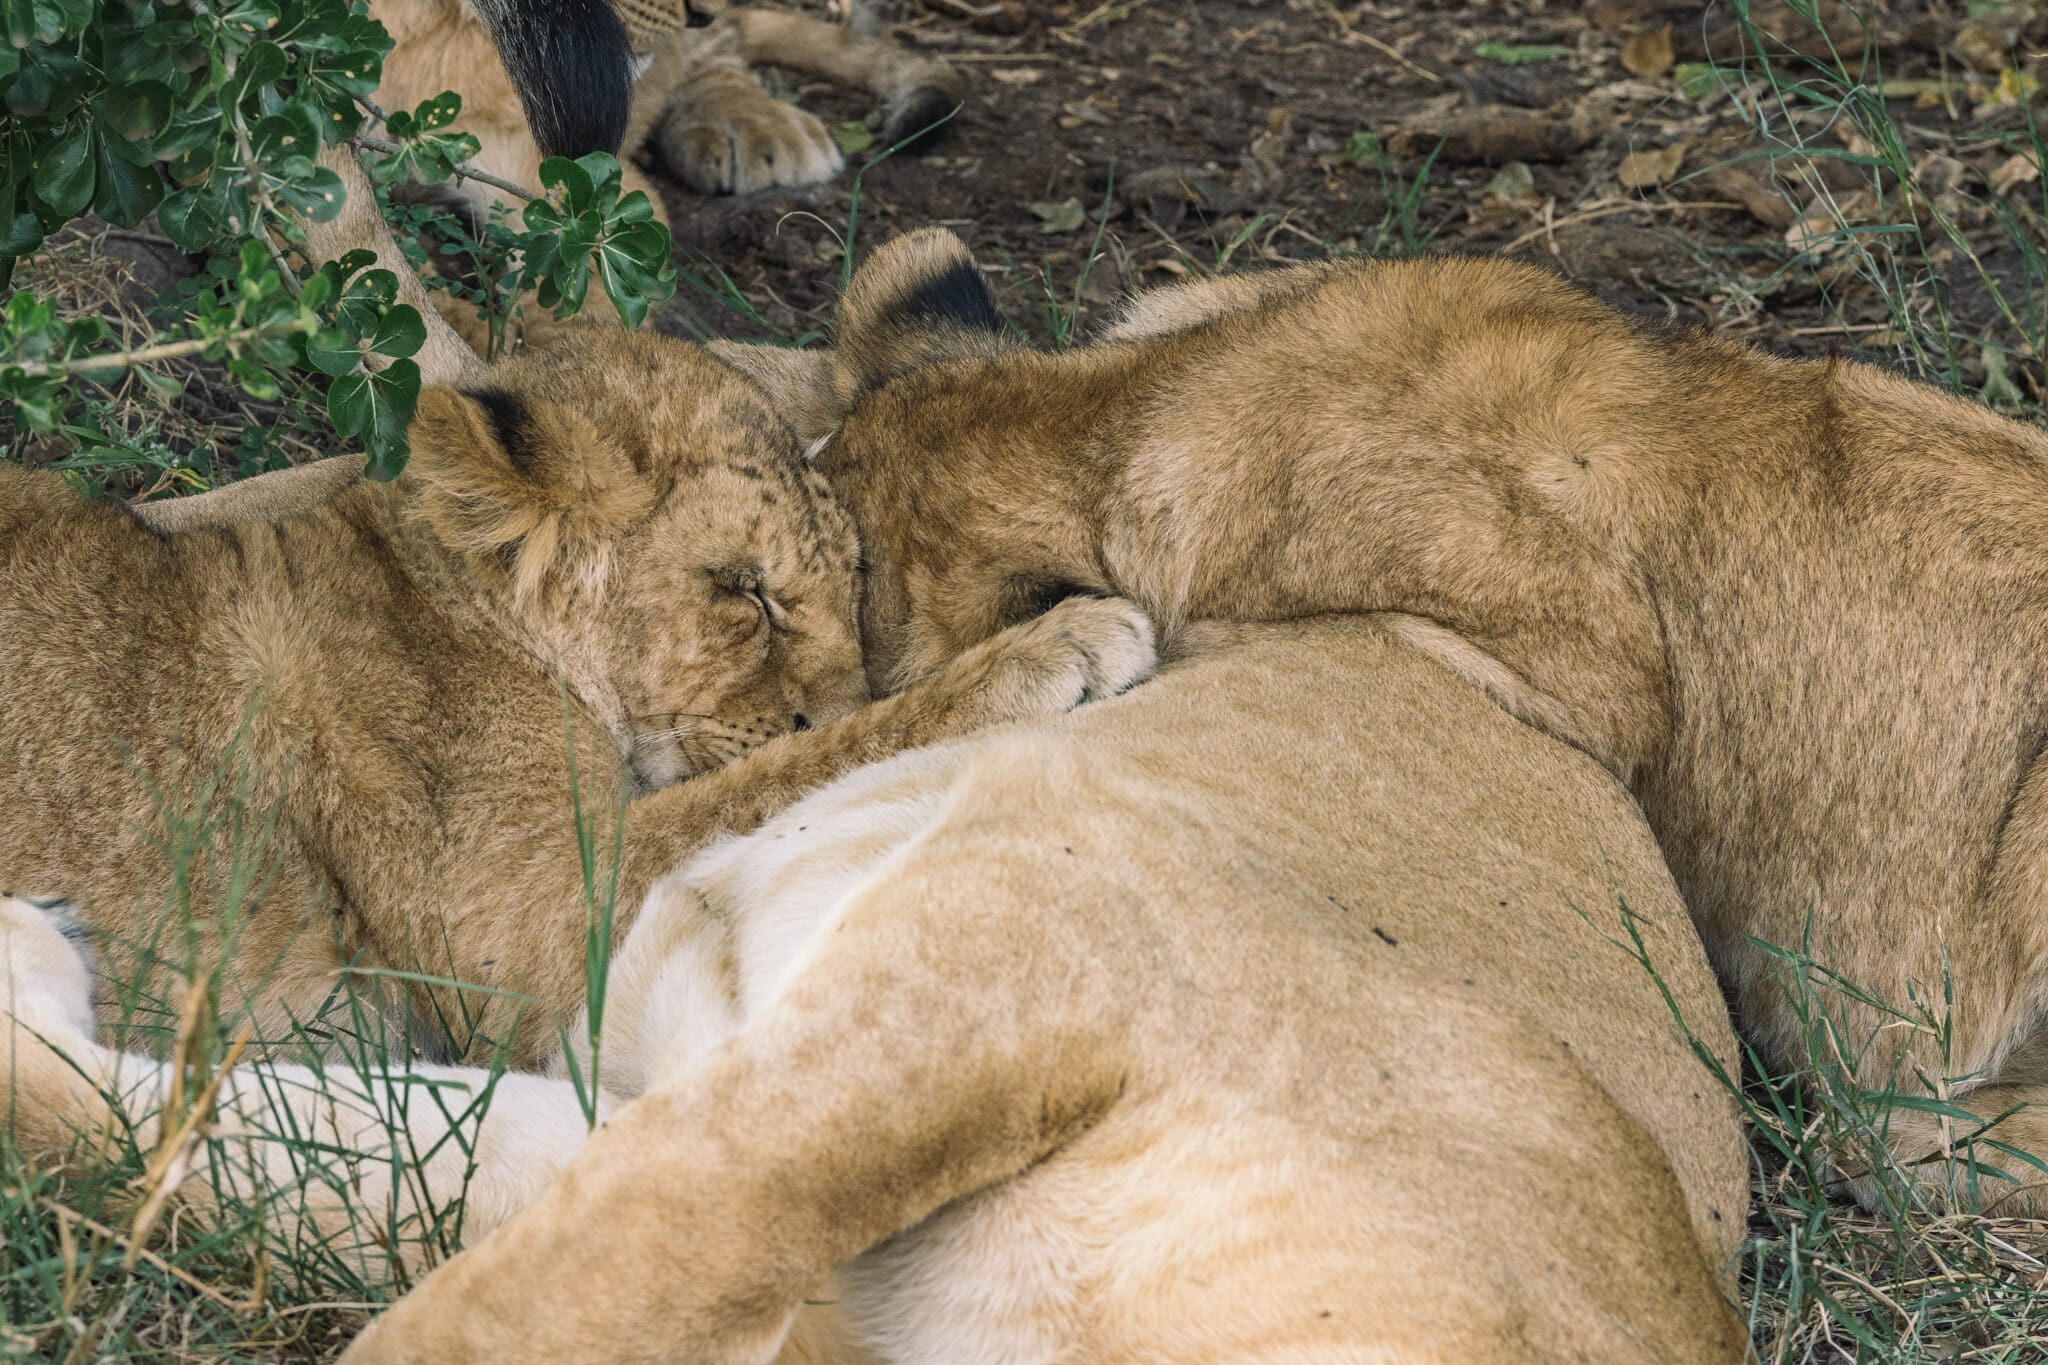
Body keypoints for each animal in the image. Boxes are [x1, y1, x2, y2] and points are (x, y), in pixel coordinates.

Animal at [0, 312, 1156, 1077]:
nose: (831, 697)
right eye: (744, 591)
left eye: (856, 575)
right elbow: (777, 777)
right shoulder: (525, 929)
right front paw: (1057, 644)